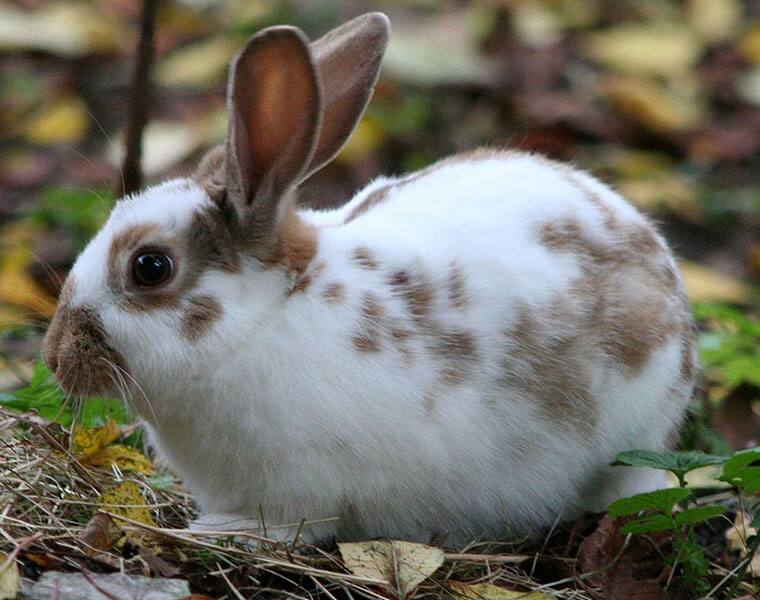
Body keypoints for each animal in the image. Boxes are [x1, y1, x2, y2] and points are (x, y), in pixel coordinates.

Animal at [41, 12, 696, 548]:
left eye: (150, 267)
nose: (54, 354)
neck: (264, 320)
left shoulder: (300, 493)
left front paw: (217, 530)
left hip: (631, 438)